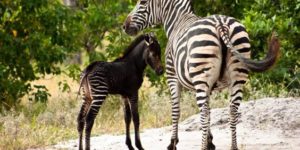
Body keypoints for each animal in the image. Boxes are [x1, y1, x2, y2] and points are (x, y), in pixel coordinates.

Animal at [123, 0, 280, 149]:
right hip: (237, 74)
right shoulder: (208, 86)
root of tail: (221, 24)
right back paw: (233, 146)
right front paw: (210, 141)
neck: (177, 20)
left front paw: (173, 143)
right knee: (232, 110)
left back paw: (202, 147)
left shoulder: (172, 76)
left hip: (201, 75)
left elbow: (176, 110)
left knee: (203, 112)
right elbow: (210, 111)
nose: (124, 26)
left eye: (142, 2)